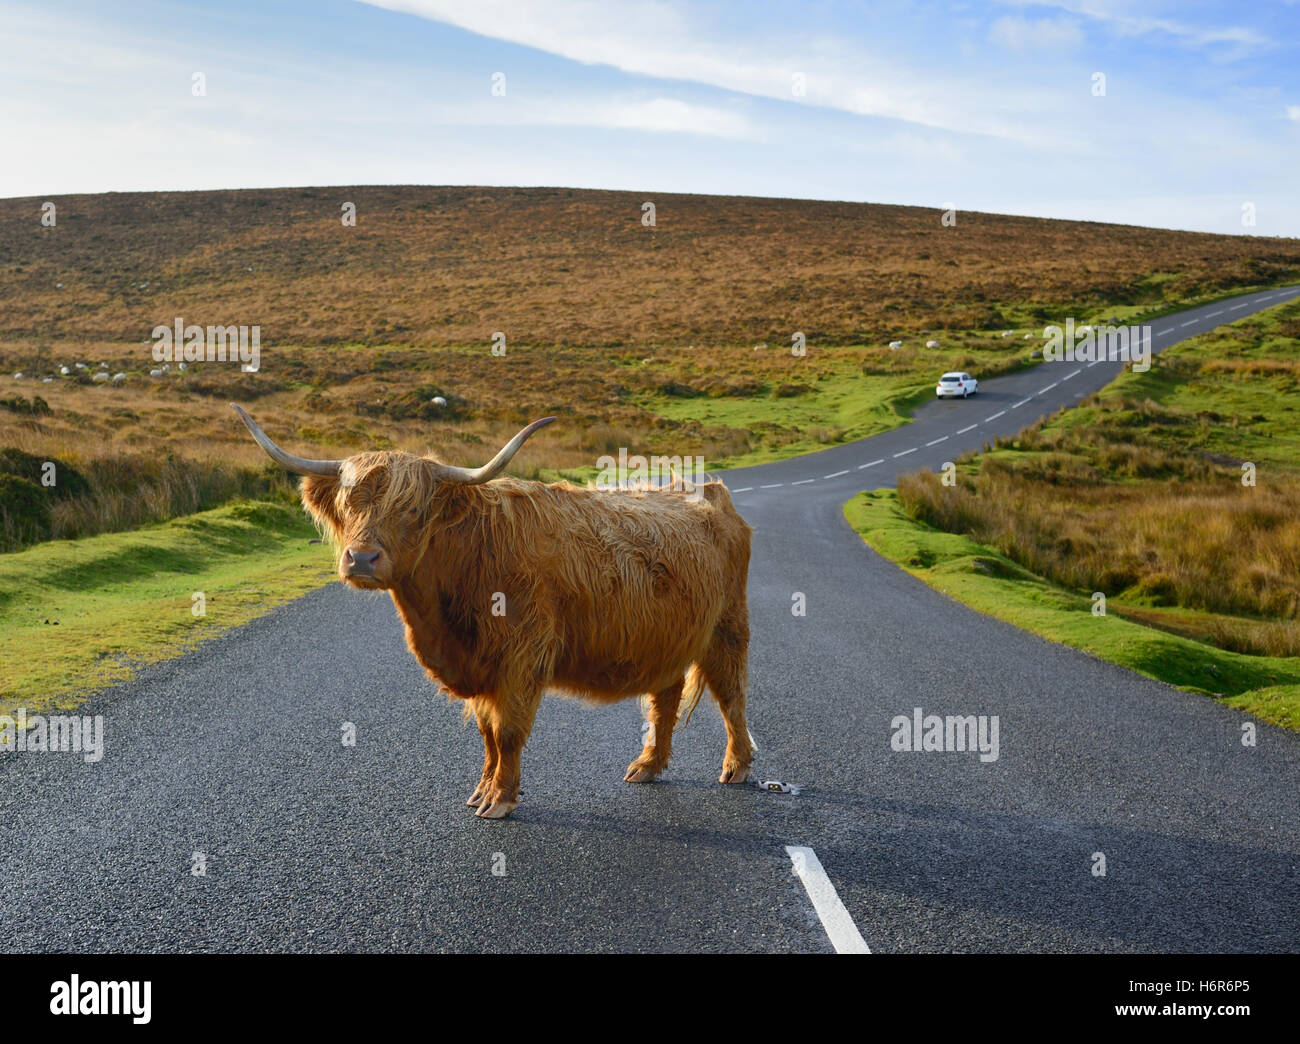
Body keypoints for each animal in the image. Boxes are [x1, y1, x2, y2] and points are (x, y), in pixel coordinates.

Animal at [233, 403, 754, 821]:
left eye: (414, 510)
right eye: (347, 505)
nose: (361, 559)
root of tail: (708, 488)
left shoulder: (523, 656)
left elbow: (508, 732)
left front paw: (501, 800)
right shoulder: (480, 665)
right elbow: (487, 732)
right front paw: (483, 789)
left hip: (727, 626)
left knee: (731, 695)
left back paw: (737, 766)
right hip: (668, 637)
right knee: (665, 697)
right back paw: (647, 765)